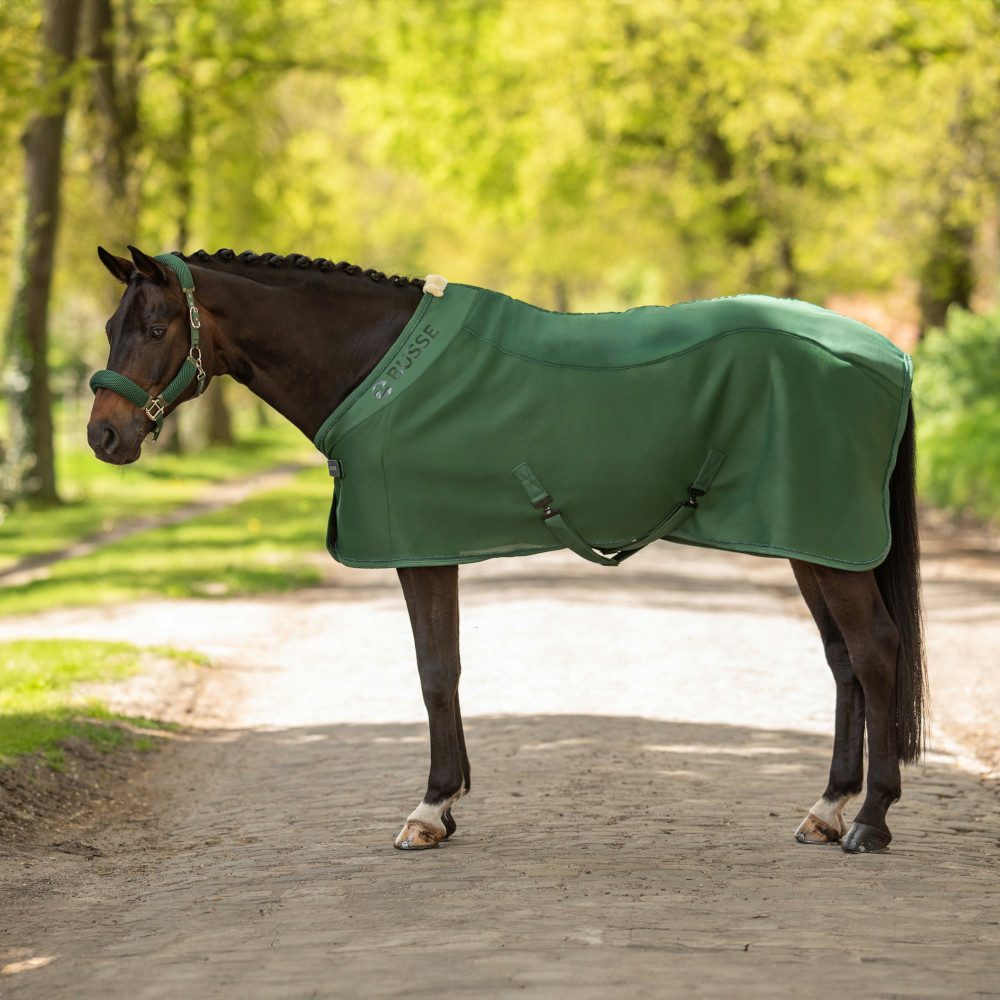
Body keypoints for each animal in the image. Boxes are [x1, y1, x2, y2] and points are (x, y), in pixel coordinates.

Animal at [87, 244, 926, 854]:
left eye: (156, 328)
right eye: (108, 329)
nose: (102, 435)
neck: (374, 363)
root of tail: (892, 355)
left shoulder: (419, 549)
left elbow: (433, 672)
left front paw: (429, 810)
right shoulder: (431, 547)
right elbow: (449, 668)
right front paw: (449, 802)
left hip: (825, 546)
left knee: (875, 650)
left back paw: (870, 822)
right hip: (809, 544)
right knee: (844, 662)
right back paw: (826, 809)